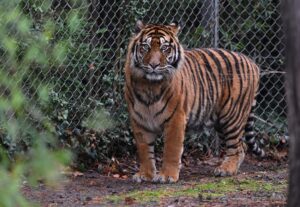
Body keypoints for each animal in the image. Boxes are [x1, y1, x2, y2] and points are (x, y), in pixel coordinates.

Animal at [124, 21, 264, 183]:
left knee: (237, 146)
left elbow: (171, 149)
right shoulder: (139, 120)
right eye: (145, 47)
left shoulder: (176, 118)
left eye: (165, 48)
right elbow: (144, 150)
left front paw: (166, 176)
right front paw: (145, 175)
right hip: (221, 121)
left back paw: (226, 170)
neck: (149, 86)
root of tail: (252, 62)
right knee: (242, 146)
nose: (154, 65)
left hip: (232, 116)